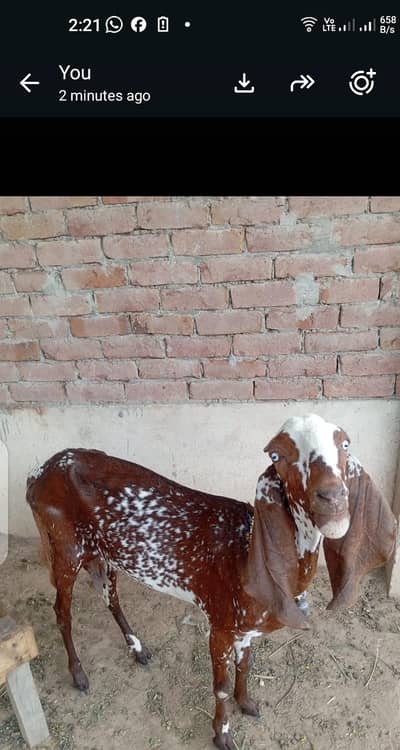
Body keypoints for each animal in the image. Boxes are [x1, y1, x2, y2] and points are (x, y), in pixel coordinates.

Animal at [26, 414, 396, 750]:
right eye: (275, 455)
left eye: (345, 443)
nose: (332, 497)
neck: (242, 548)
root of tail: (39, 473)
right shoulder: (219, 623)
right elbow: (220, 685)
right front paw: (222, 735)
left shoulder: (245, 627)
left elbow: (245, 665)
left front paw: (247, 703)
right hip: (65, 547)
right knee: (61, 609)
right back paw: (79, 675)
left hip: (104, 554)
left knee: (109, 596)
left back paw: (138, 650)